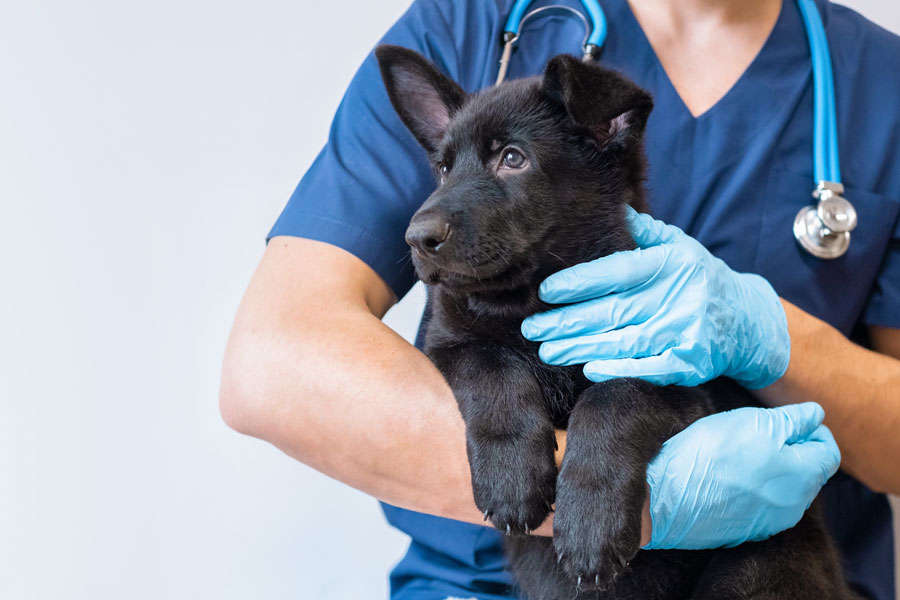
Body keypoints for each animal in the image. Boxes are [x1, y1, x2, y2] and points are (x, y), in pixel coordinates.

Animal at [374, 44, 856, 596]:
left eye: (512, 158)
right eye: (443, 169)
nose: (416, 237)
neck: (529, 303)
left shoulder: (682, 388)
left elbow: (613, 400)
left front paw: (591, 524)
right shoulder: (448, 341)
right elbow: (491, 366)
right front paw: (512, 477)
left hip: (764, 566)